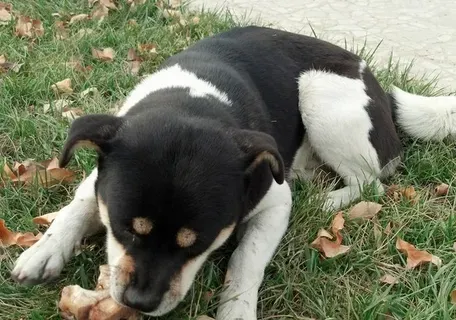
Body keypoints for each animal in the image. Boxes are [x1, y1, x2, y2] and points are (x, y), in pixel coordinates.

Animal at [10, 26, 456, 318]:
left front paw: (236, 309)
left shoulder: (273, 206)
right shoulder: (101, 174)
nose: (139, 303)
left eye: (198, 244)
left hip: (320, 93)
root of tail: (378, 91)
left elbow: (246, 262)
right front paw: (43, 251)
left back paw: (325, 199)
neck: (192, 106)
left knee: (371, 183)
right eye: (123, 229)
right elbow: (76, 207)